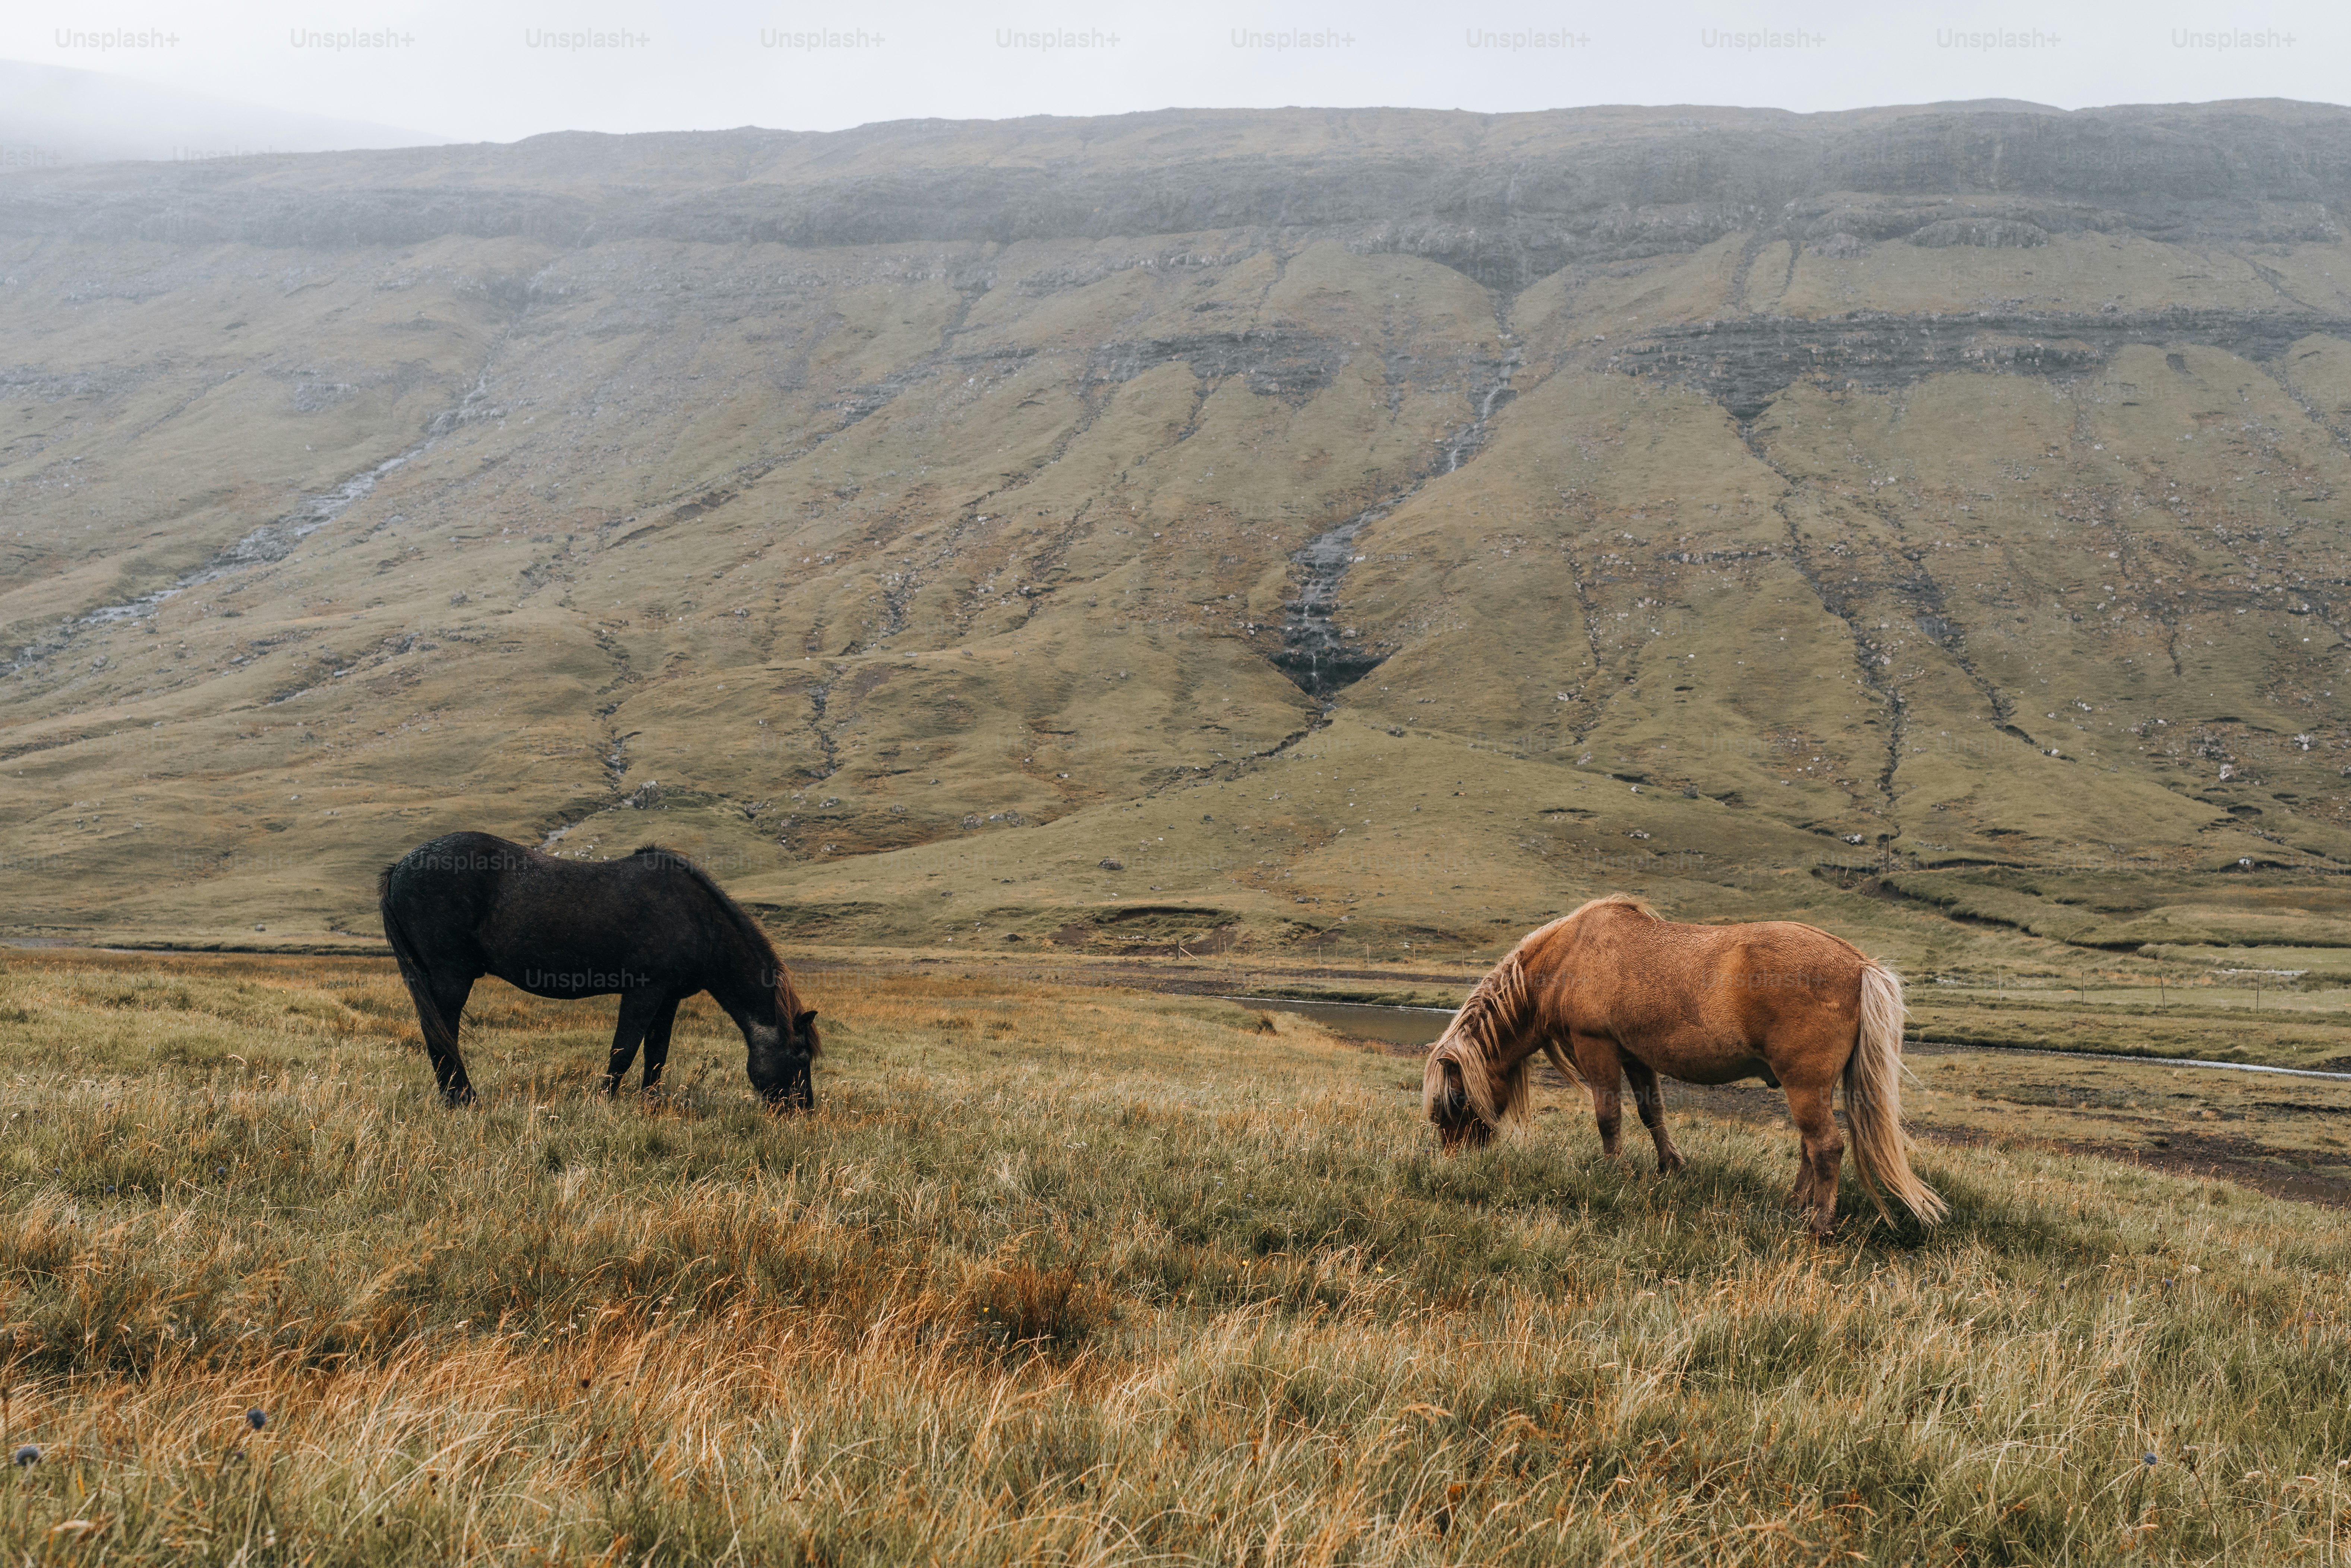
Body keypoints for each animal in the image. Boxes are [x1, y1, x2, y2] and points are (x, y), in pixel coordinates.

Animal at [378, 832, 819, 1108]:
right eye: (801, 1057)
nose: (804, 1110)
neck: (696, 919)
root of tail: (400, 866)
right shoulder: (643, 991)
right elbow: (624, 1050)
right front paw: (604, 1104)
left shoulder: (668, 998)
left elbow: (656, 1055)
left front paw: (650, 1106)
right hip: (451, 976)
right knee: (442, 1036)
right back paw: (462, 1100)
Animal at [1422, 895, 1943, 1235]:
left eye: (1454, 1100)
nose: (1453, 1163)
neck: (1569, 955)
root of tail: (1858, 965)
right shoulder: (1634, 1056)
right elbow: (1651, 1114)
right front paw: (1669, 1166)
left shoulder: (1598, 1048)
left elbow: (1608, 1117)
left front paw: (1616, 1174)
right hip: (1810, 1087)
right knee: (1809, 1146)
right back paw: (1794, 1206)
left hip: (1803, 1083)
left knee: (1826, 1147)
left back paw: (1818, 1224)